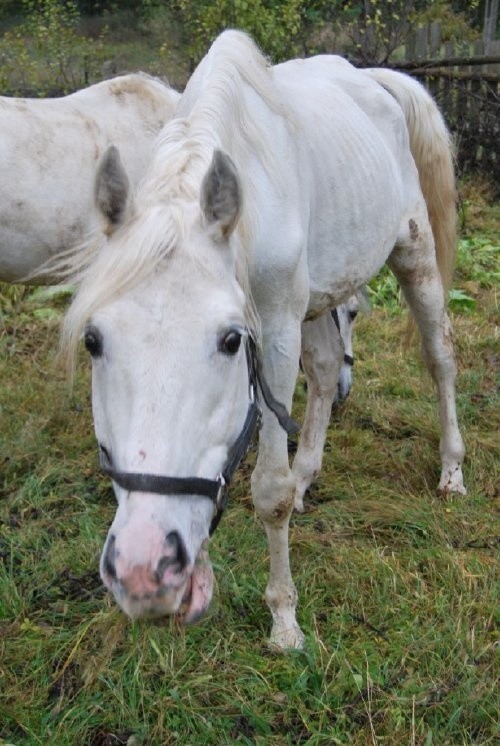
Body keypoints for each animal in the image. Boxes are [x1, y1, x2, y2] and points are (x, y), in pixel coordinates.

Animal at [60, 30, 466, 644]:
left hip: (412, 253)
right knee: (325, 369)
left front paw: (284, 621)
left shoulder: (273, 331)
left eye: (231, 341)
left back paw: (452, 471)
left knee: (439, 356)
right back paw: (309, 475)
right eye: (93, 341)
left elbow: (270, 492)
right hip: (319, 295)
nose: (142, 567)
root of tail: (375, 79)